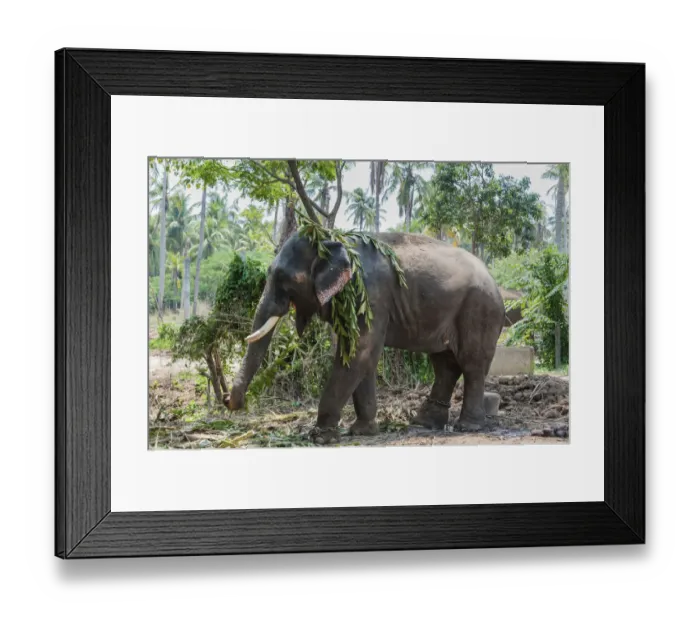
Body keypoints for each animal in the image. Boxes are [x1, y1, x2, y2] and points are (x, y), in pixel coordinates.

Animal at [226, 231, 505, 445]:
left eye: (286, 279)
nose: (229, 401)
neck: (333, 238)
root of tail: (495, 282)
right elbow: (362, 357)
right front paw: (362, 431)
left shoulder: (369, 294)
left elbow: (359, 351)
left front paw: (320, 437)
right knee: (444, 364)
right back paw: (424, 422)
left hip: (479, 309)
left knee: (471, 363)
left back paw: (468, 426)